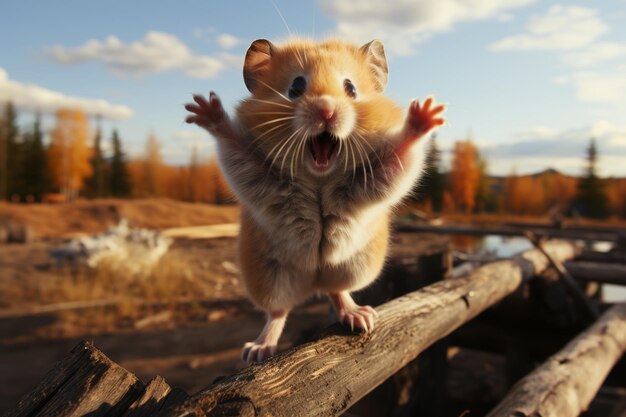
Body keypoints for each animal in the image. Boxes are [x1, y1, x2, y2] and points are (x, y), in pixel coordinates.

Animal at [185, 39, 444, 364]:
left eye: (351, 88)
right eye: (296, 86)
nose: (326, 111)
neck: (319, 179)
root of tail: (313, 283)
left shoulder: (377, 175)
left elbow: (403, 152)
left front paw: (428, 113)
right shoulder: (253, 169)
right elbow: (232, 143)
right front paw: (203, 108)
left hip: (352, 267)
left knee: (338, 293)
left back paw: (360, 317)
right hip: (269, 277)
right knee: (278, 311)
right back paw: (257, 350)